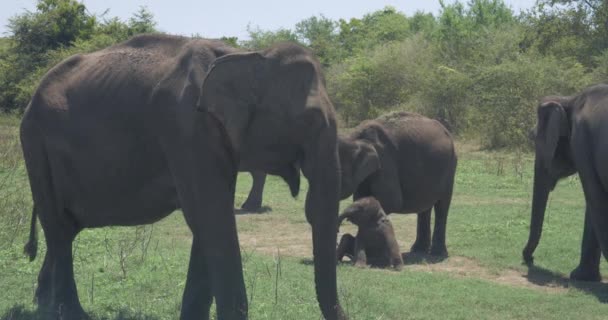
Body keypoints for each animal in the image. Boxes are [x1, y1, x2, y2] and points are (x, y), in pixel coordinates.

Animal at [21, 33, 344, 318]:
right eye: (311, 120)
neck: (247, 55)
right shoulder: (186, 130)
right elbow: (211, 217)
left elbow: (209, 220)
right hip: (36, 144)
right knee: (58, 229)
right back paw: (70, 313)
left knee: (65, 227)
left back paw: (44, 306)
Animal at [338, 111, 456, 256]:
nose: (339, 228)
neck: (356, 138)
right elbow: (362, 198)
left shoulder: (385, 161)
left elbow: (391, 201)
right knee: (424, 208)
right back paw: (418, 249)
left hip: (450, 167)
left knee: (442, 206)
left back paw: (437, 253)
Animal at [520, 84, 608, 282]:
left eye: (533, 136)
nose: (528, 258)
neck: (570, 99)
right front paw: (584, 277)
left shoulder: (581, 141)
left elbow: (594, 199)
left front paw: (580, 277)